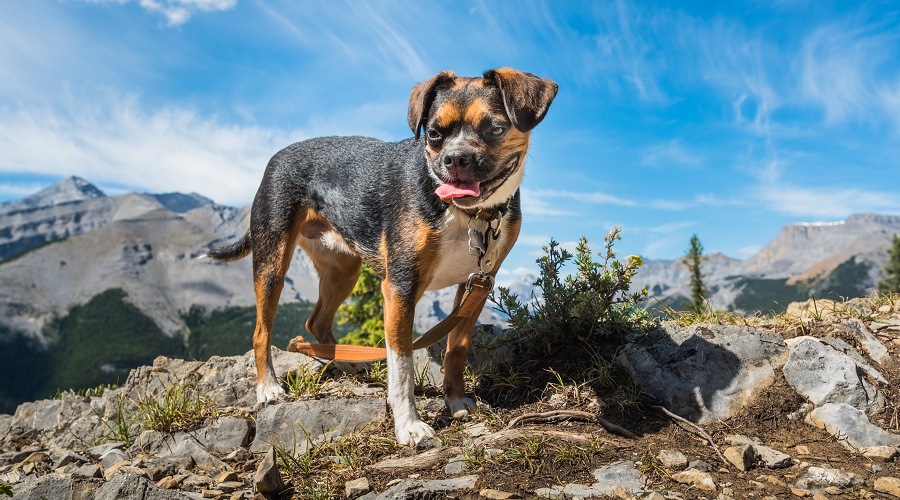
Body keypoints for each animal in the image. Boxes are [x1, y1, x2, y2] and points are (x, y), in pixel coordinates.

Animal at [212, 67, 560, 446]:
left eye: (494, 129)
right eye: (434, 134)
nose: (455, 159)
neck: (467, 215)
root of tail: (276, 157)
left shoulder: (477, 284)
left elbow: (456, 348)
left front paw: (455, 400)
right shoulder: (401, 287)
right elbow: (402, 366)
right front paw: (409, 425)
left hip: (343, 270)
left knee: (316, 321)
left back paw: (344, 361)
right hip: (273, 261)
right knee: (261, 331)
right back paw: (269, 388)